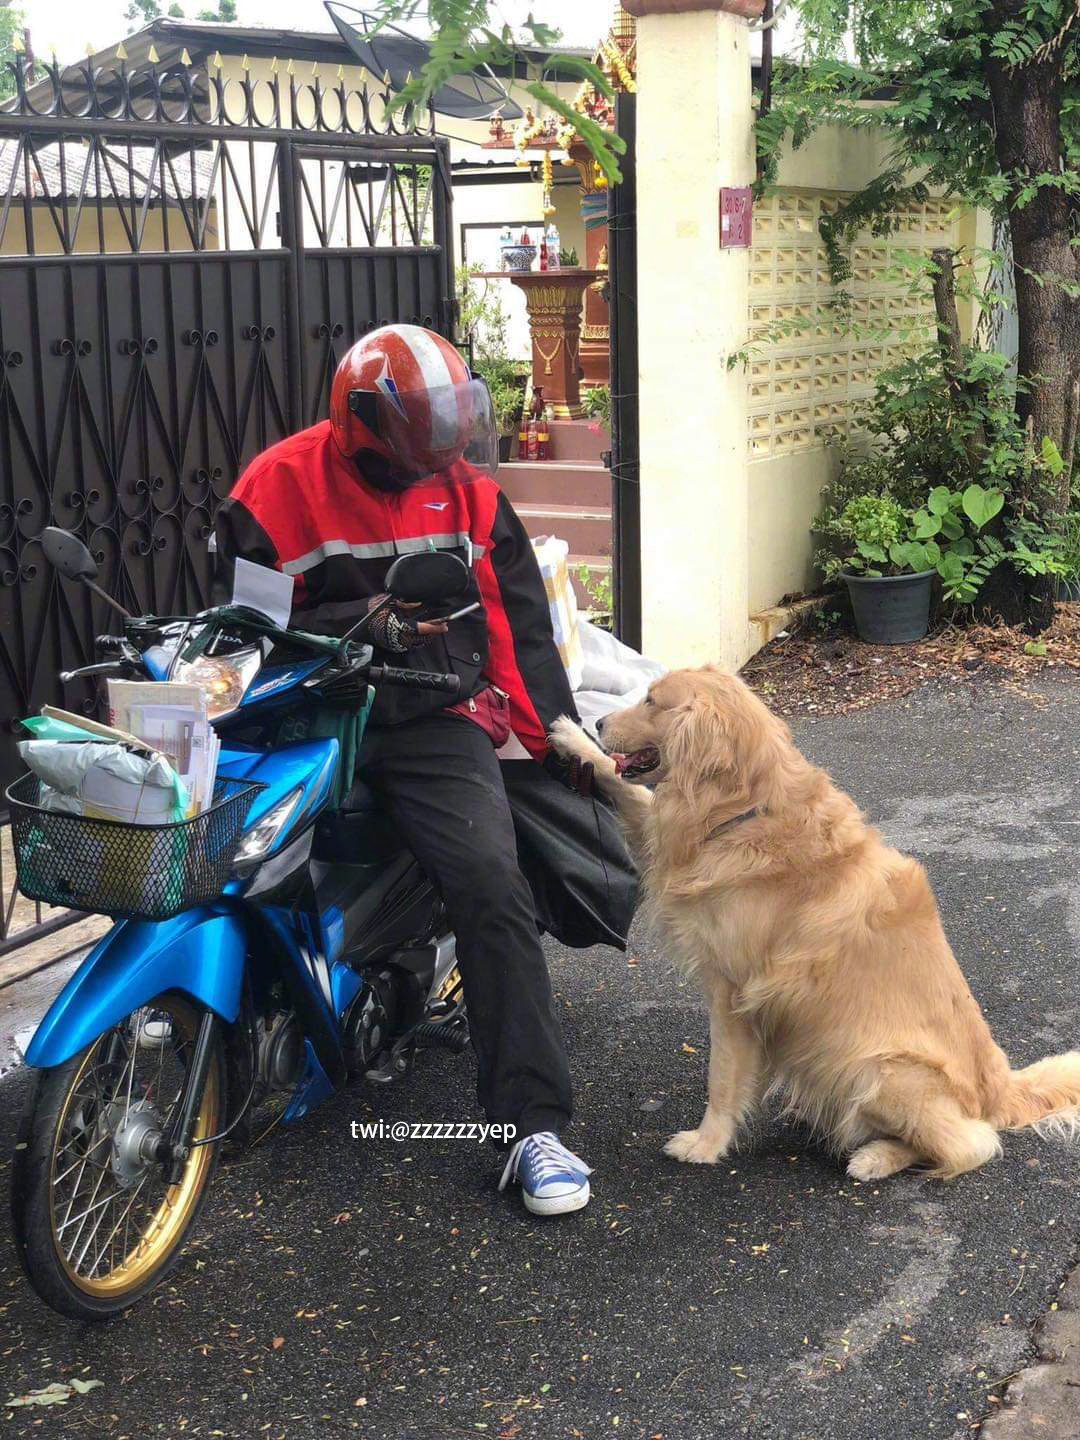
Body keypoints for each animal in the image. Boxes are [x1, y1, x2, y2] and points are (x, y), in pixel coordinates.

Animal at [552, 668, 1077, 1175]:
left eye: (652, 701)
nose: (598, 722)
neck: (744, 810)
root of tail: (999, 1087)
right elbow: (624, 784)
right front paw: (571, 738)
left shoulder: (733, 993)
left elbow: (721, 1078)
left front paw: (706, 1144)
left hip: (881, 1069)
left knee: (970, 1144)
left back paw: (875, 1157)